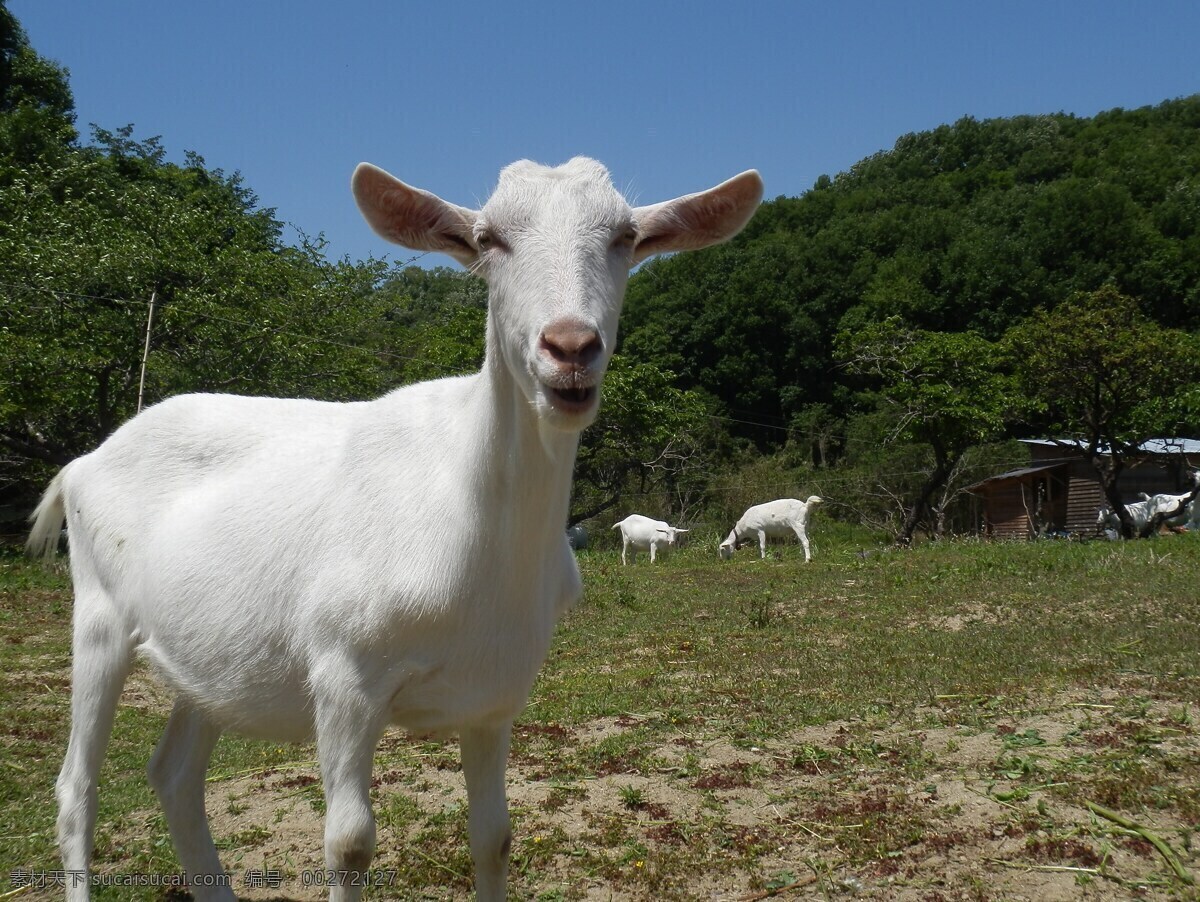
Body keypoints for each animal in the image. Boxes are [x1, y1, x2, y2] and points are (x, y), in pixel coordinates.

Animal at [28, 158, 763, 897]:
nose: (570, 346)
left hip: (208, 659)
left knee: (175, 775)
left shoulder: (495, 694)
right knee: (76, 790)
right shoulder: (343, 675)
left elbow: (494, 837)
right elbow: (349, 844)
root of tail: (84, 462)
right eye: (488, 239)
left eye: (626, 237)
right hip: (99, 617)